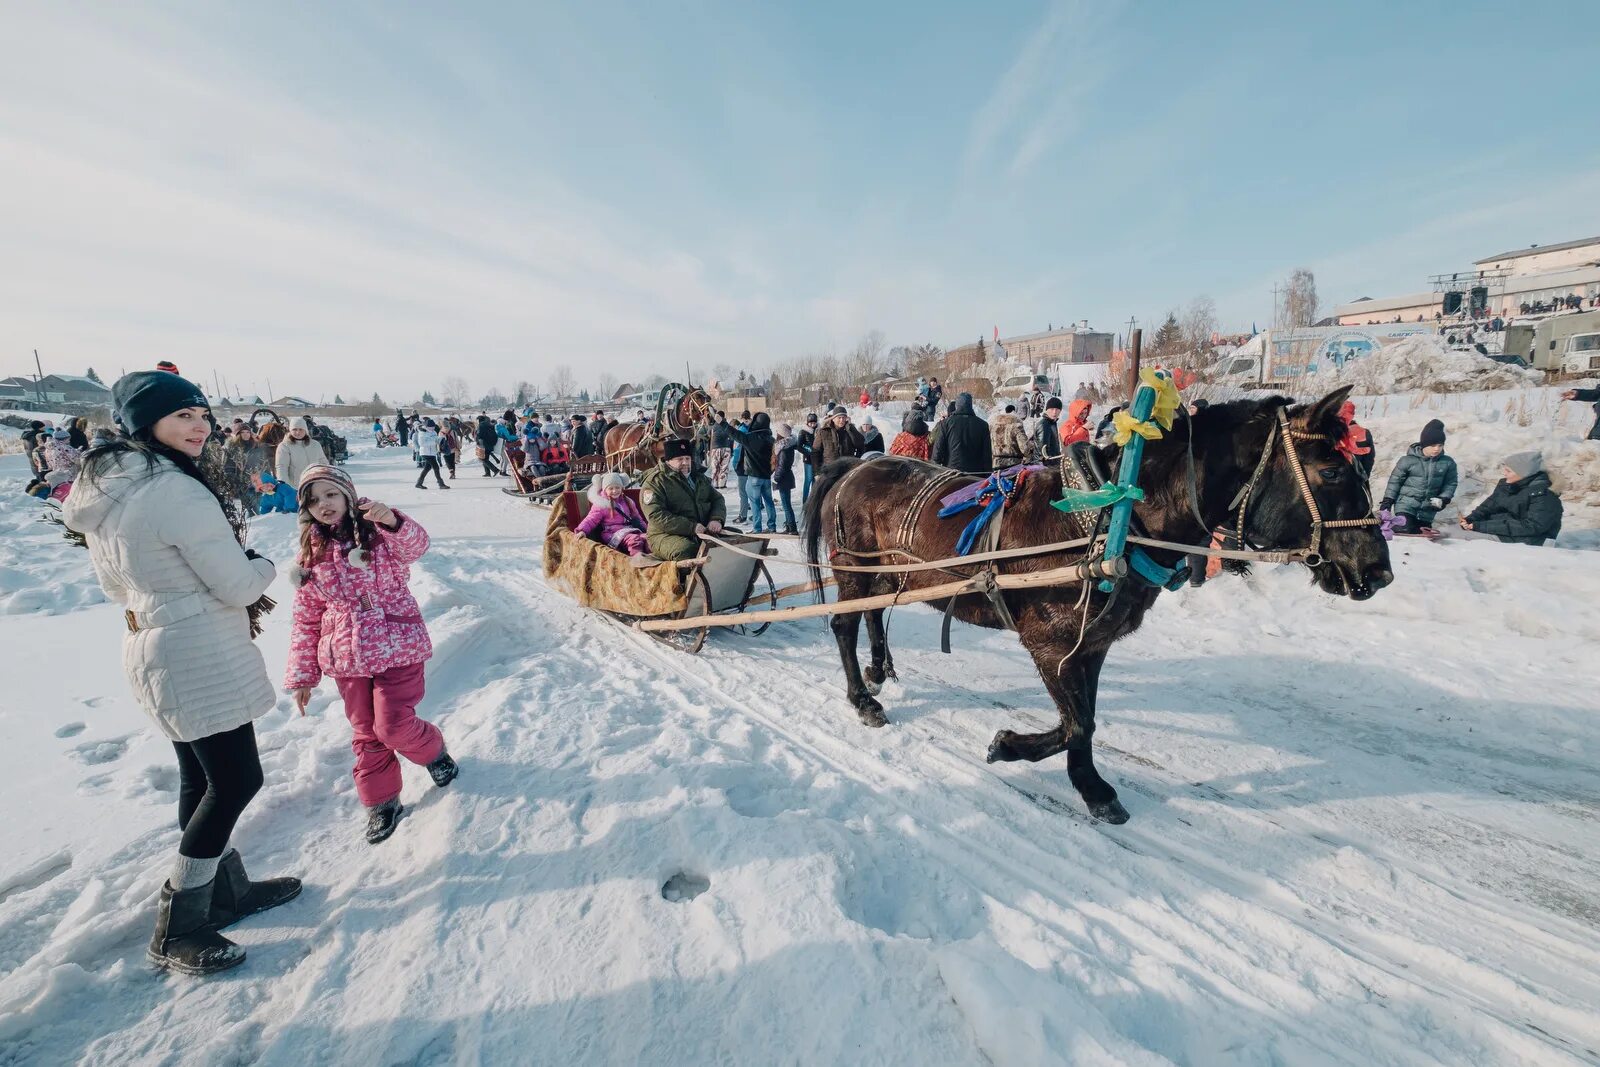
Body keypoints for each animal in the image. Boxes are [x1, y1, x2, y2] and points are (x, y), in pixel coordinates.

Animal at [806, 388, 1395, 825]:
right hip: (853, 572)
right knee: (843, 625)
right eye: (1333, 472)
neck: (1108, 521)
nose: (1378, 571)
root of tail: (853, 465)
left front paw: (1088, 786)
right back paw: (863, 699)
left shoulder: (1093, 644)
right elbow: (1076, 724)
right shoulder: (1052, 645)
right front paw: (1013, 748)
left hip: (883, 575)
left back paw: (880, 669)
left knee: (875, 616)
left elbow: (1086, 719)